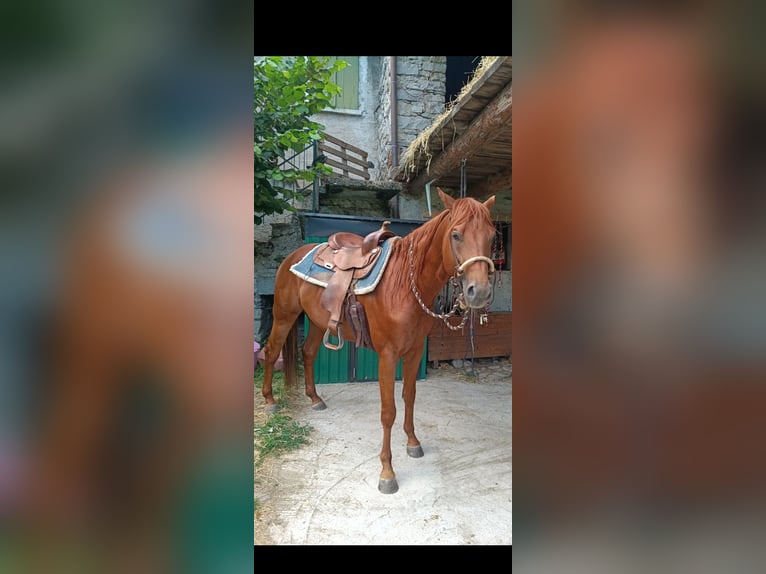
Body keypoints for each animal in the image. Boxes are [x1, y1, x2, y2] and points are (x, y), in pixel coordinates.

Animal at [259, 188, 496, 494]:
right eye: (456, 235)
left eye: (492, 236)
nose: (480, 292)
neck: (405, 284)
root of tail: (293, 256)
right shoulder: (388, 356)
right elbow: (388, 411)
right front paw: (387, 472)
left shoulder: (414, 352)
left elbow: (410, 397)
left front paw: (413, 443)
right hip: (284, 314)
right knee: (271, 350)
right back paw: (269, 401)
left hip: (318, 321)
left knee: (308, 352)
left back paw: (315, 398)